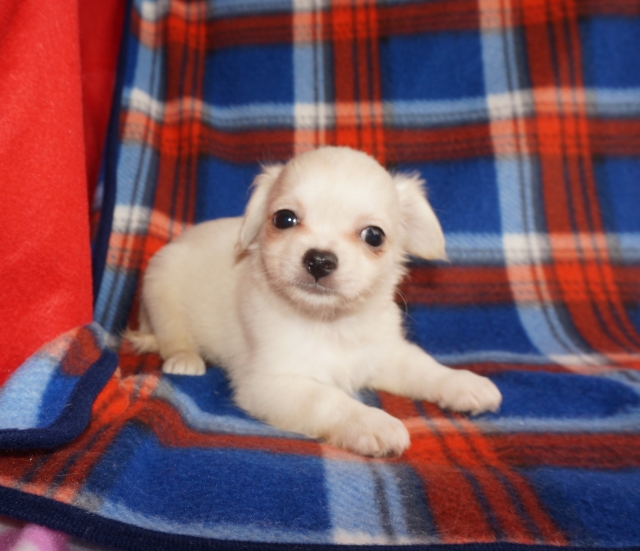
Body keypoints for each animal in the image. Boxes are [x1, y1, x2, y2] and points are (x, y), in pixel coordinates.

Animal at [126, 146, 502, 457]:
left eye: (374, 236)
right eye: (284, 219)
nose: (319, 260)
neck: (330, 323)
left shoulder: (385, 354)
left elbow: (423, 367)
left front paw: (463, 383)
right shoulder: (271, 384)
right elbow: (329, 399)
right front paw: (372, 422)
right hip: (160, 282)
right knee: (172, 336)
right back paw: (185, 359)